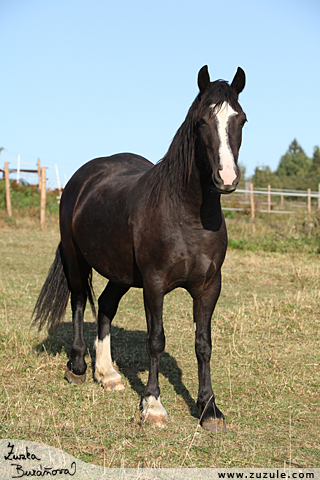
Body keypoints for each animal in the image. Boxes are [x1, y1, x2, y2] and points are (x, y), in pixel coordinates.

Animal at [32, 65, 246, 434]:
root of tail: (83, 177)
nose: (227, 178)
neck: (188, 215)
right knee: (79, 302)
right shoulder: (154, 285)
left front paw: (209, 408)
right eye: (202, 122)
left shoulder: (209, 287)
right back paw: (78, 366)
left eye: (242, 119)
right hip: (76, 261)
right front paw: (153, 406)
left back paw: (107, 374)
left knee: (105, 306)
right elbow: (156, 340)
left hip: (119, 273)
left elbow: (203, 344)